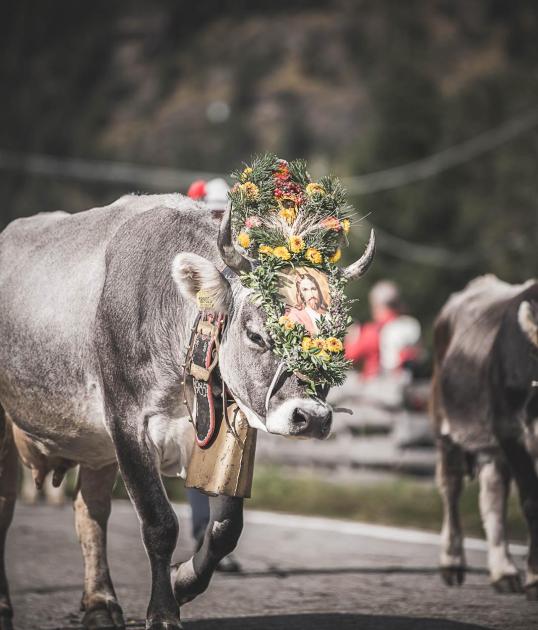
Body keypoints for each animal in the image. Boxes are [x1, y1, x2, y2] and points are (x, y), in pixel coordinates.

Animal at [0, 194, 372, 630]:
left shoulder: (227, 433)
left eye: (336, 340)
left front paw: (182, 582)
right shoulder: (127, 423)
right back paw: (7, 605)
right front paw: (163, 612)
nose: (311, 416)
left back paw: (100, 604)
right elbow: (160, 522)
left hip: (96, 447)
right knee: (7, 505)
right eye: (256, 334)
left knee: (90, 510)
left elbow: (226, 528)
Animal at [430, 278, 538, 604]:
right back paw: (452, 562)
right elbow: (531, 501)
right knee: (451, 488)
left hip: (492, 449)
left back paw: (504, 571)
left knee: (493, 497)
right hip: (447, 428)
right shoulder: (511, 433)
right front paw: (535, 578)